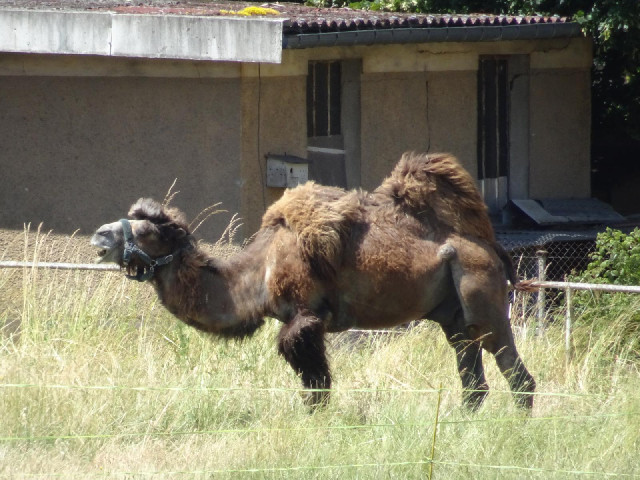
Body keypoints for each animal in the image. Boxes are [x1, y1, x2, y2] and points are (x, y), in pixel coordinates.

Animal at [91, 152, 535, 410]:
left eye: (148, 231)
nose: (99, 236)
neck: (259, 274)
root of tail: (492, 247)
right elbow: (315, 385)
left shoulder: (305, 316)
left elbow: (316, 386)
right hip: (453, 316)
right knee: (473, 382)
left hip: (481, 293)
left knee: (516, 374)